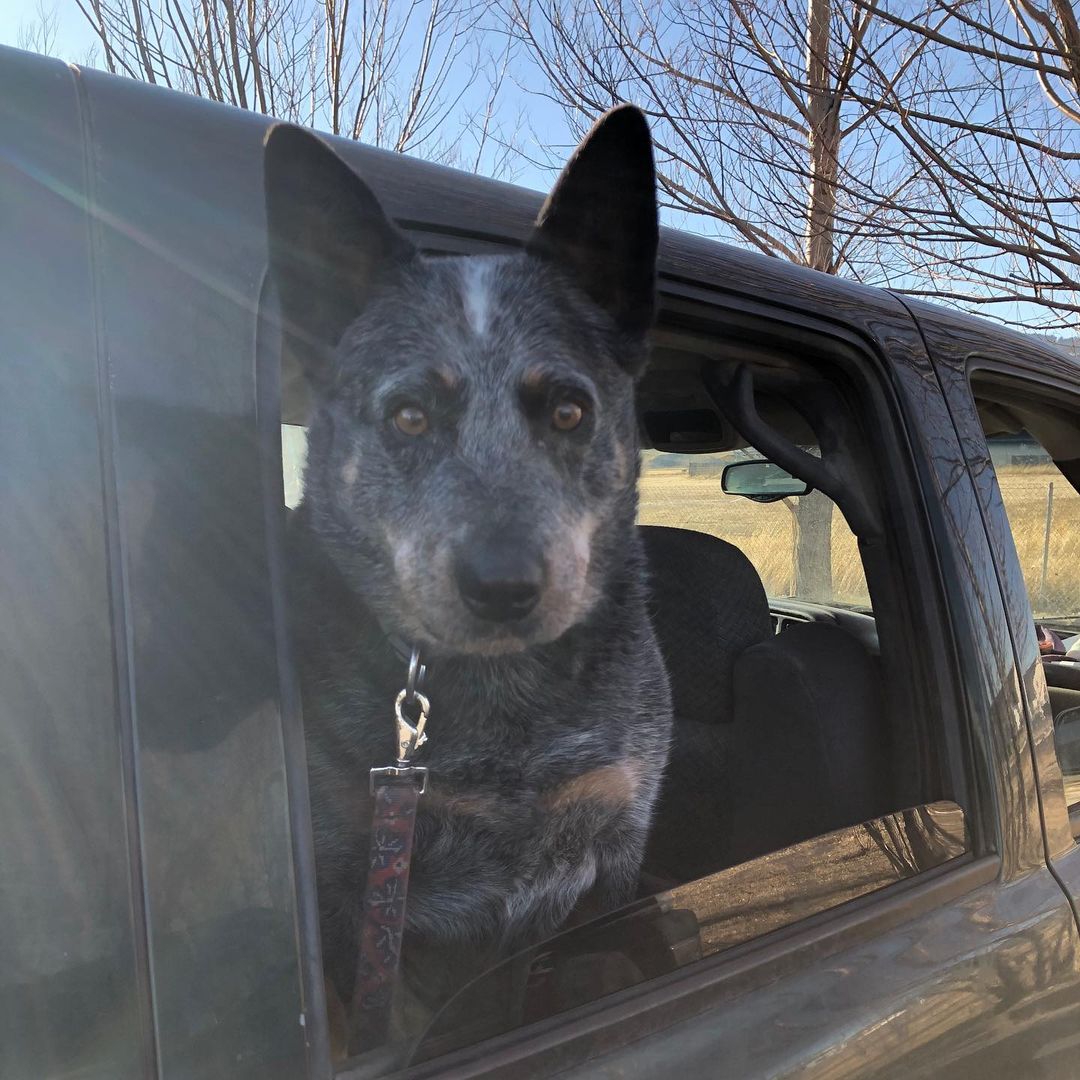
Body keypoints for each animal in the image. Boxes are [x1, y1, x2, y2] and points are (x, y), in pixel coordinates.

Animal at [263, 105, 665, 1041]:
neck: (511, 709)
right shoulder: (353, 886)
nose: (504, 585)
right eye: (410, 416)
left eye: (569, 410)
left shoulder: (615, 841)